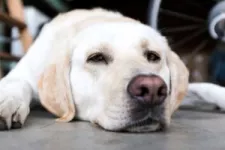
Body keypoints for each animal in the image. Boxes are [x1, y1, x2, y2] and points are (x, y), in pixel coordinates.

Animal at [0, 7, 221, 132]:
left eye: (152, 56)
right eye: (96, 58)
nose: (151, 89)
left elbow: (205, 87)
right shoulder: (25, 71)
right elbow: (17, 82)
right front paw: (7, 102)